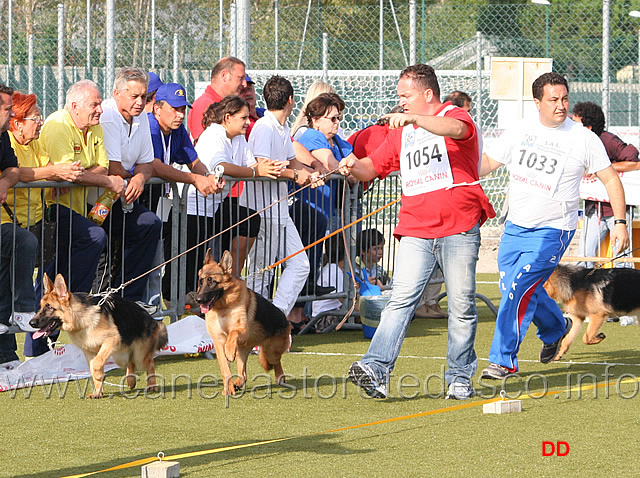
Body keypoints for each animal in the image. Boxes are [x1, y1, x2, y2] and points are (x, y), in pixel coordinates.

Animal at [30, 272, 169, 400]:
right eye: (41, 307)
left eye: (49, 307)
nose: (31, 323)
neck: (81, 319)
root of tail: (152, 319)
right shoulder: (89, 352)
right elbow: (92, 368)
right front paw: (98, 391)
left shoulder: (110, 341)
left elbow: (97, 364)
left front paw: (99, 377)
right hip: (120, 356)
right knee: (131, 362)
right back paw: (131, 380)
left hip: (139, 356)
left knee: (149, 363)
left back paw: (152, 385)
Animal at [196, 250, 292, 396]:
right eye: (200, 282)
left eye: (212, 282)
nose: (198, 300)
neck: (223, 306)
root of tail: (285, 319)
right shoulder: (219, 343)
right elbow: (225, 369)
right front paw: (228, 389)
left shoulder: (242, 330)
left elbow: (233, 333)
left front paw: (230, 351)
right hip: (242, 351)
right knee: (243, 375)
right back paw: (236, 384)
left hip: (270, 351)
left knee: (276, 362)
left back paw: (280, 378)